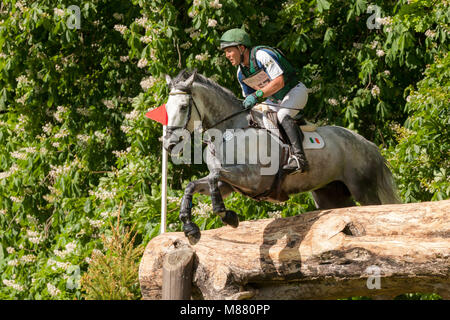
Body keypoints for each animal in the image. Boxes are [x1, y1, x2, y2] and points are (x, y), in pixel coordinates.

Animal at [163, 70, 400, 244]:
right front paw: (190, 228)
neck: (230, 130)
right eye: (166, 108)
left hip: (363, 190)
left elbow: (214, 176)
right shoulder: (229, 185)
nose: (168, 144)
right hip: (330, 195)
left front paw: (226, 215)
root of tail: (368, 144)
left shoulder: (253, 179)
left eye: (183, 107)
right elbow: (194, 184)